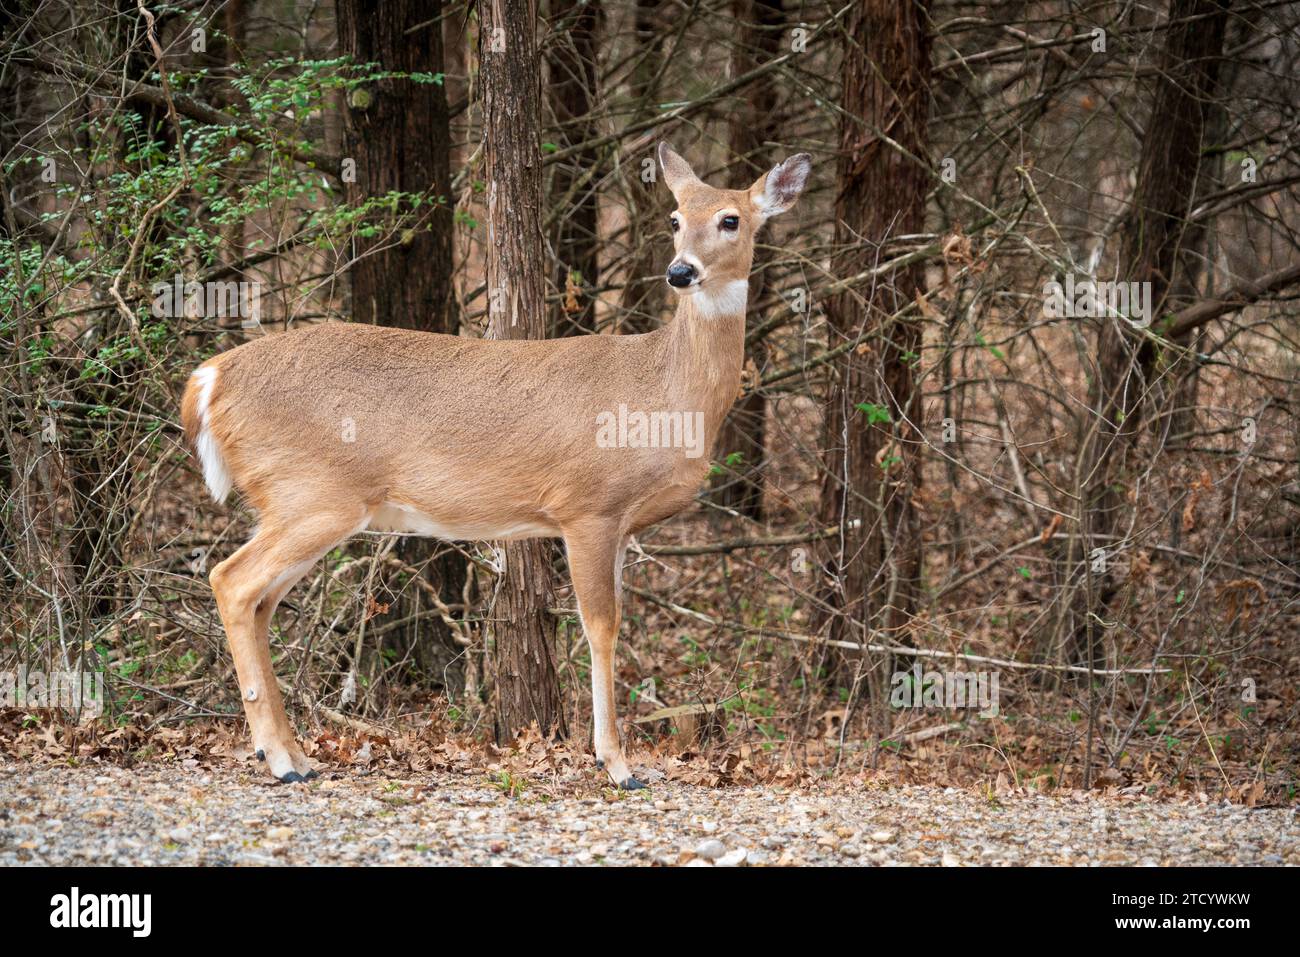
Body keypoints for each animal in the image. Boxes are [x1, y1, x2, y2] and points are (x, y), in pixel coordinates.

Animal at [178, 141, 806, 785]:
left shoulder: (621, 523)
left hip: (298, 502)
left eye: (730, 219)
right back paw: (280, 758)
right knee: (231, 581)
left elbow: (613, 622)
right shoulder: (588, 506)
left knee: (261, 601)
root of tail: (208, 378)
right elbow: (600, 627)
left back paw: (294, 753)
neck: (664, 396)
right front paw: (616, 763)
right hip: (311, 494)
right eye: (676, 219)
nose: (680, 272)